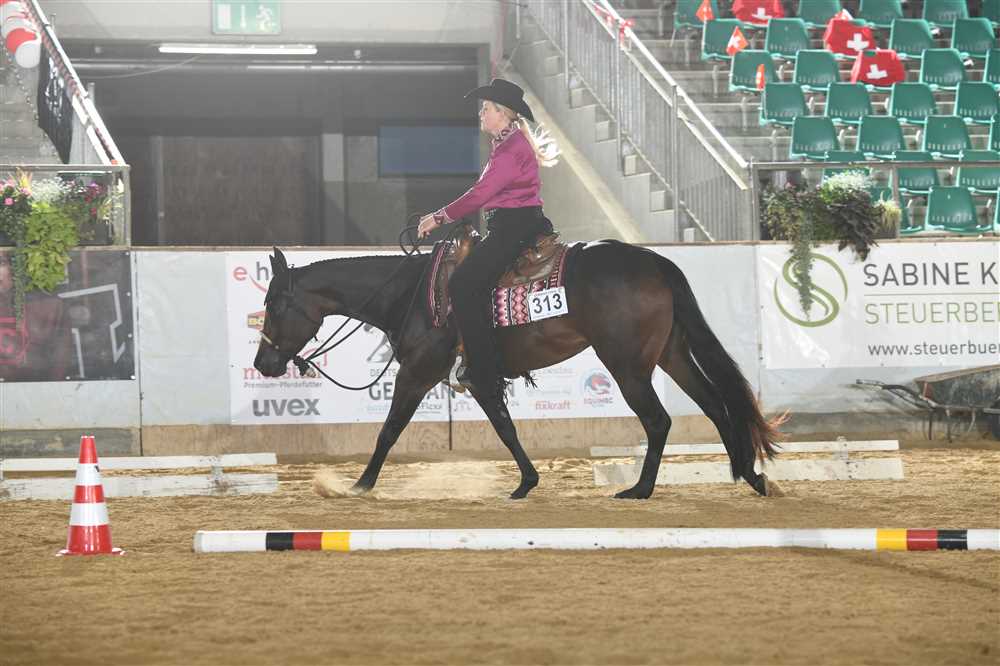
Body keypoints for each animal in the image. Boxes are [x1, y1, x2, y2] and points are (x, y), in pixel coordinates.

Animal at [254, 236, 784, 500]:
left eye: (274, 305)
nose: (263, 362)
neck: (411, 294)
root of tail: (654, 261)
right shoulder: (479, 377)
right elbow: (505, 428)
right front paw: (527, 482)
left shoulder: (418, 374)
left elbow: (389, 430)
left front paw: (358, 486)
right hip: (671, 354)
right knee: (715, 405)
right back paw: (749, 476)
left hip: (627, 365)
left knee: (659, 420)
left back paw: (640, 489)